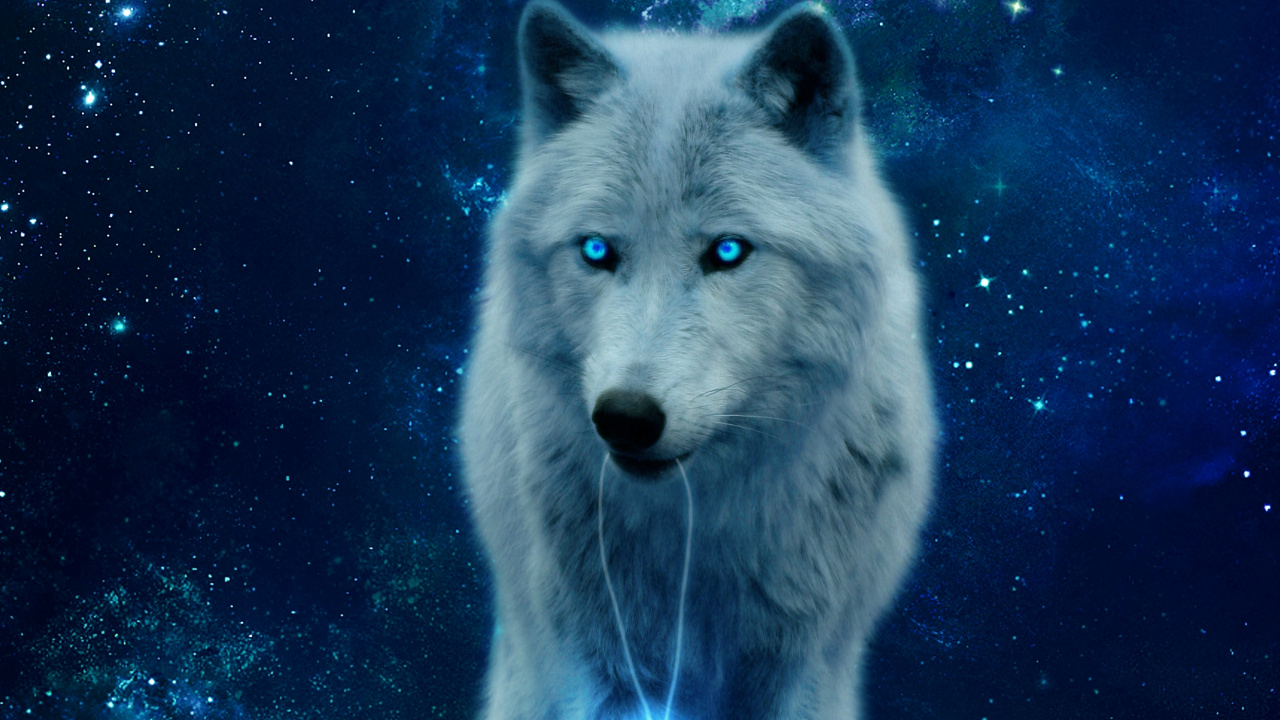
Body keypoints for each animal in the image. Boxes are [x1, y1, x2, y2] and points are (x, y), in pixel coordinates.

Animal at [458, 2, 936, 719]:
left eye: (728, 251)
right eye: (596, 250)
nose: (626, 417)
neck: (697, 528)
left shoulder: (798, 666)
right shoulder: (602, 667)